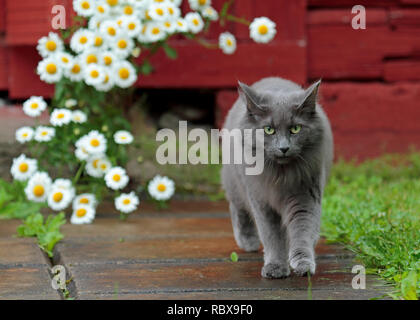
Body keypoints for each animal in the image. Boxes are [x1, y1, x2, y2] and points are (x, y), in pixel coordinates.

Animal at [221, 77, 334, 278]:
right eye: (269, 130)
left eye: (295, 129)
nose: (283, 148)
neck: (281, 176)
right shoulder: (262, 202)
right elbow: (272, 237)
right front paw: (275, 266)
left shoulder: (306, 198)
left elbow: (302, 232)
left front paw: (303, 263)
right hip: (235, 182)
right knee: (237, 208)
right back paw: (248, 241)